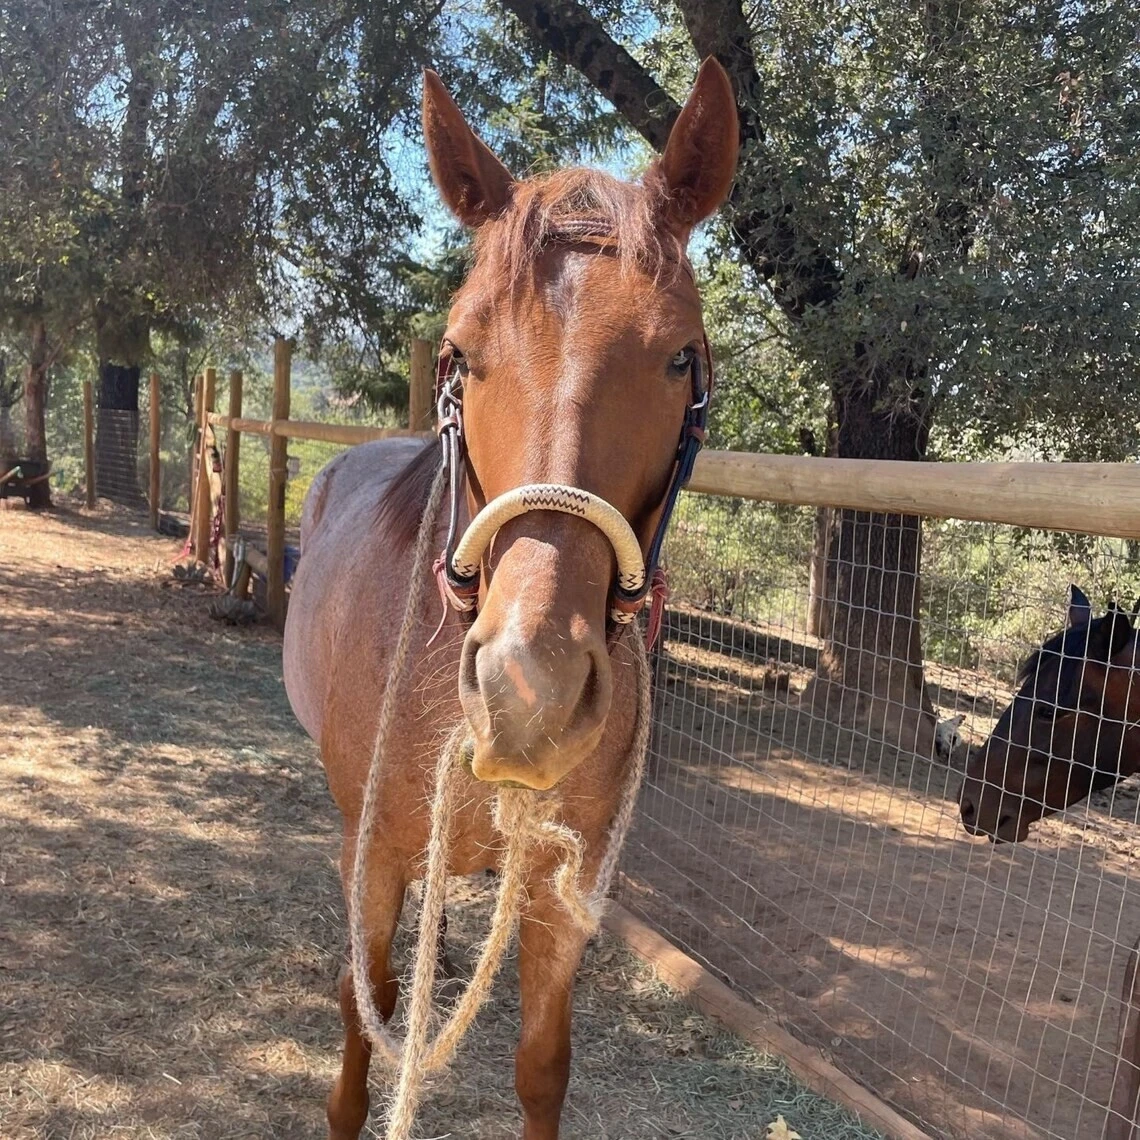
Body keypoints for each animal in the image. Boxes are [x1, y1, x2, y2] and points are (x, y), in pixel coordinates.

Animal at [282, 60, 739, 1140]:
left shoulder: (560, 890)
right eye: (461, 350)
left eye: (679, 357)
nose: (530, 691)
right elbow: (364, 1009)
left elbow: (541, 1064)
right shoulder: (370, 860)